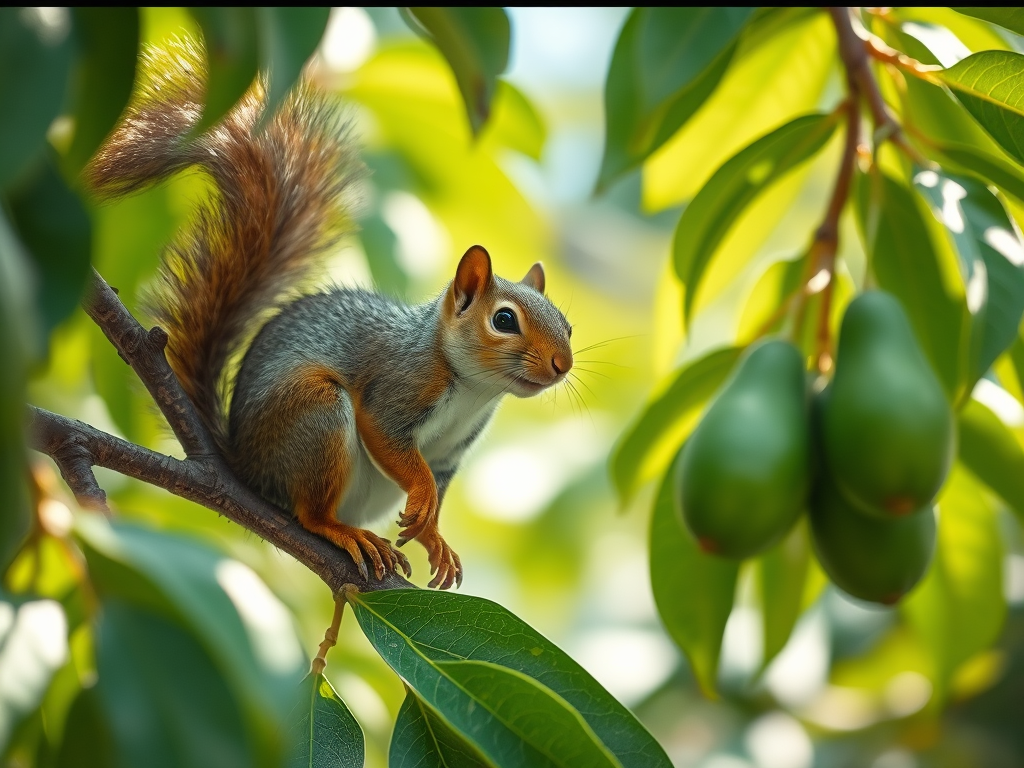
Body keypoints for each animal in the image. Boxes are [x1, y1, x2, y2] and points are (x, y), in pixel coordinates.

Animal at [85, 41, 574, 590]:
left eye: (567, 326)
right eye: (504, 321)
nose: (563, 364)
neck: (472, 388)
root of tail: (246, 466)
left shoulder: (451, 454)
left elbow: (437, 489)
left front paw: (435, 539)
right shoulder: (398, 386)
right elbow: (390, 440)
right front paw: (423, 497)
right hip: (315, 415)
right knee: (310, 512)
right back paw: (343, 532)